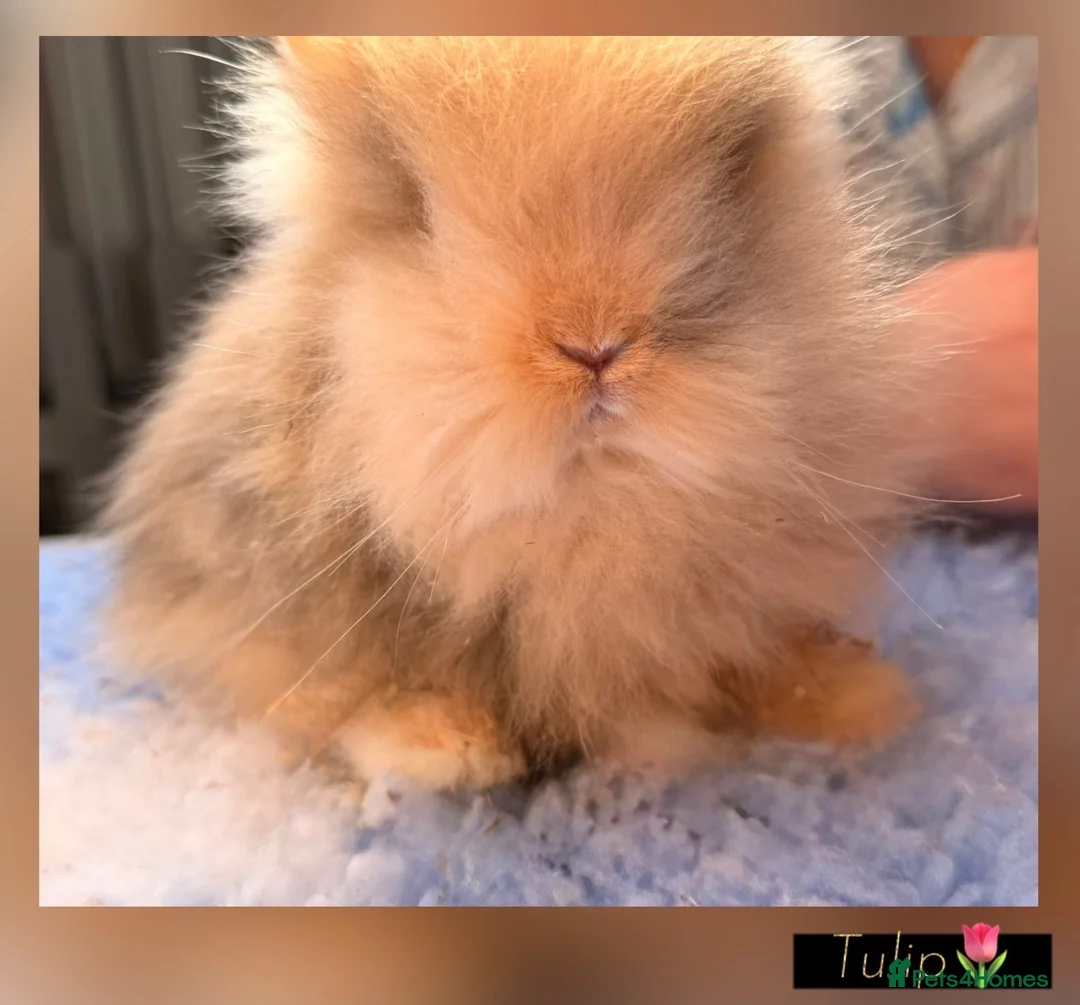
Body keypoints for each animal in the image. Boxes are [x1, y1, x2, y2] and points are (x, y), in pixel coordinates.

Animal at [101, 36, 936, 790]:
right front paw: (447, 749)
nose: (595, 345)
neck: (596, 511)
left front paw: (865, 699)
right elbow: (349, 690)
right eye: (419, 208)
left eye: (733, 164)